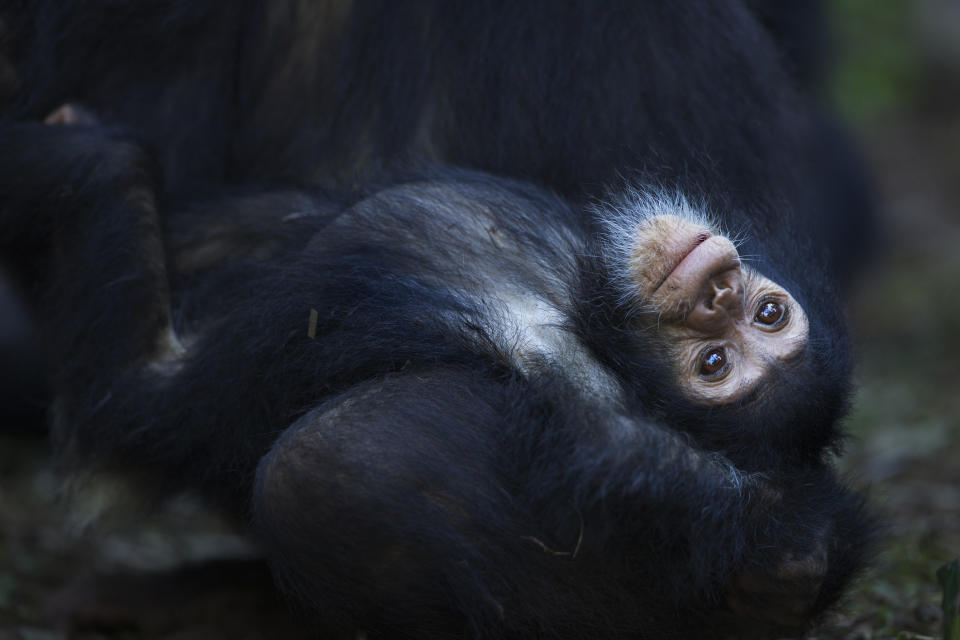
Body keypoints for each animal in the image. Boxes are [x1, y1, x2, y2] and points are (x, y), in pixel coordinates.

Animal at [0, 1, 872, 640]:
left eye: (715, 365)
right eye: (766, 313)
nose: (717, 296)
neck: (577, 286)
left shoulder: (559, 364)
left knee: (322, 459)